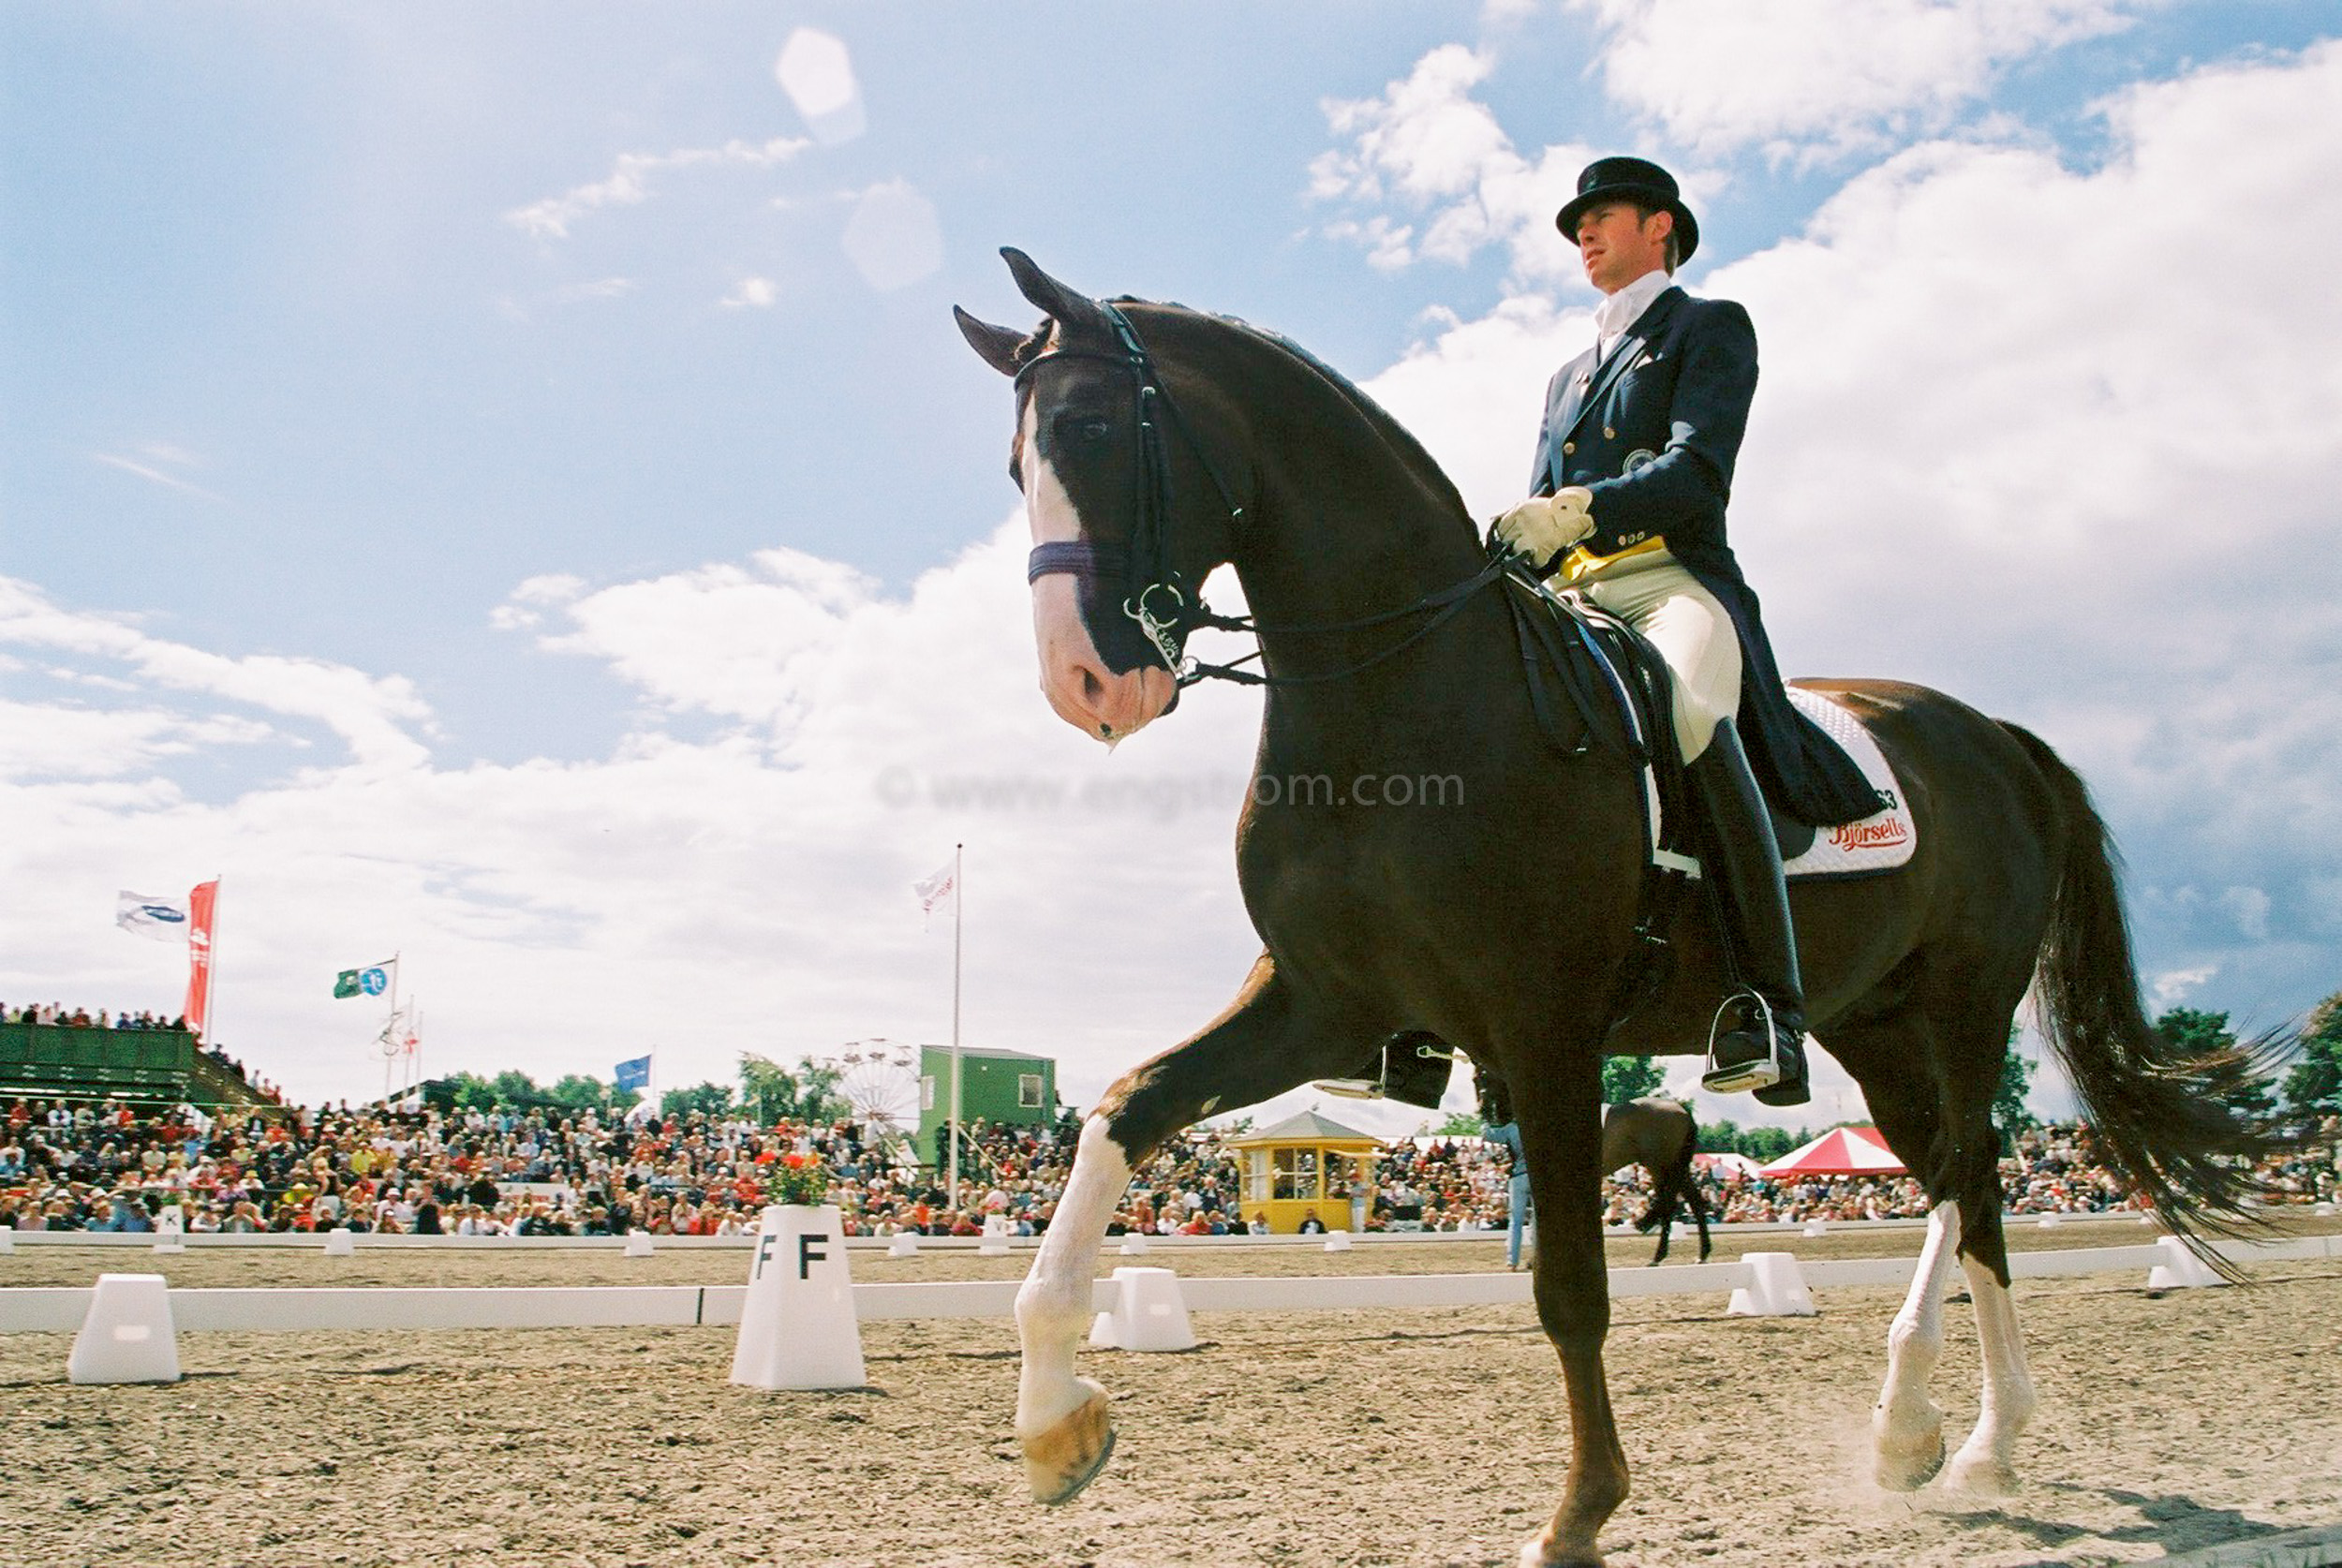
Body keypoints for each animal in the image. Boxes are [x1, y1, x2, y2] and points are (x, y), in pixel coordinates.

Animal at [946, 251, 2267, 1568]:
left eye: (1093, 428)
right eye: (1013, 465)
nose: (1087, 681)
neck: (1405, 699)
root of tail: (1992, 735)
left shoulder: (1546, 1025)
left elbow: (1571, 1288)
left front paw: (1580, 1512)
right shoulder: (1324, 1003)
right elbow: (1128, 1109)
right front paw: (1055, 1427)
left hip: (1961, 1003)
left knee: (1970, 1170)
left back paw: (1961, 1437)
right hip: (1874, 1022)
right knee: (1956, 1180)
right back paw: (1933, 1441)